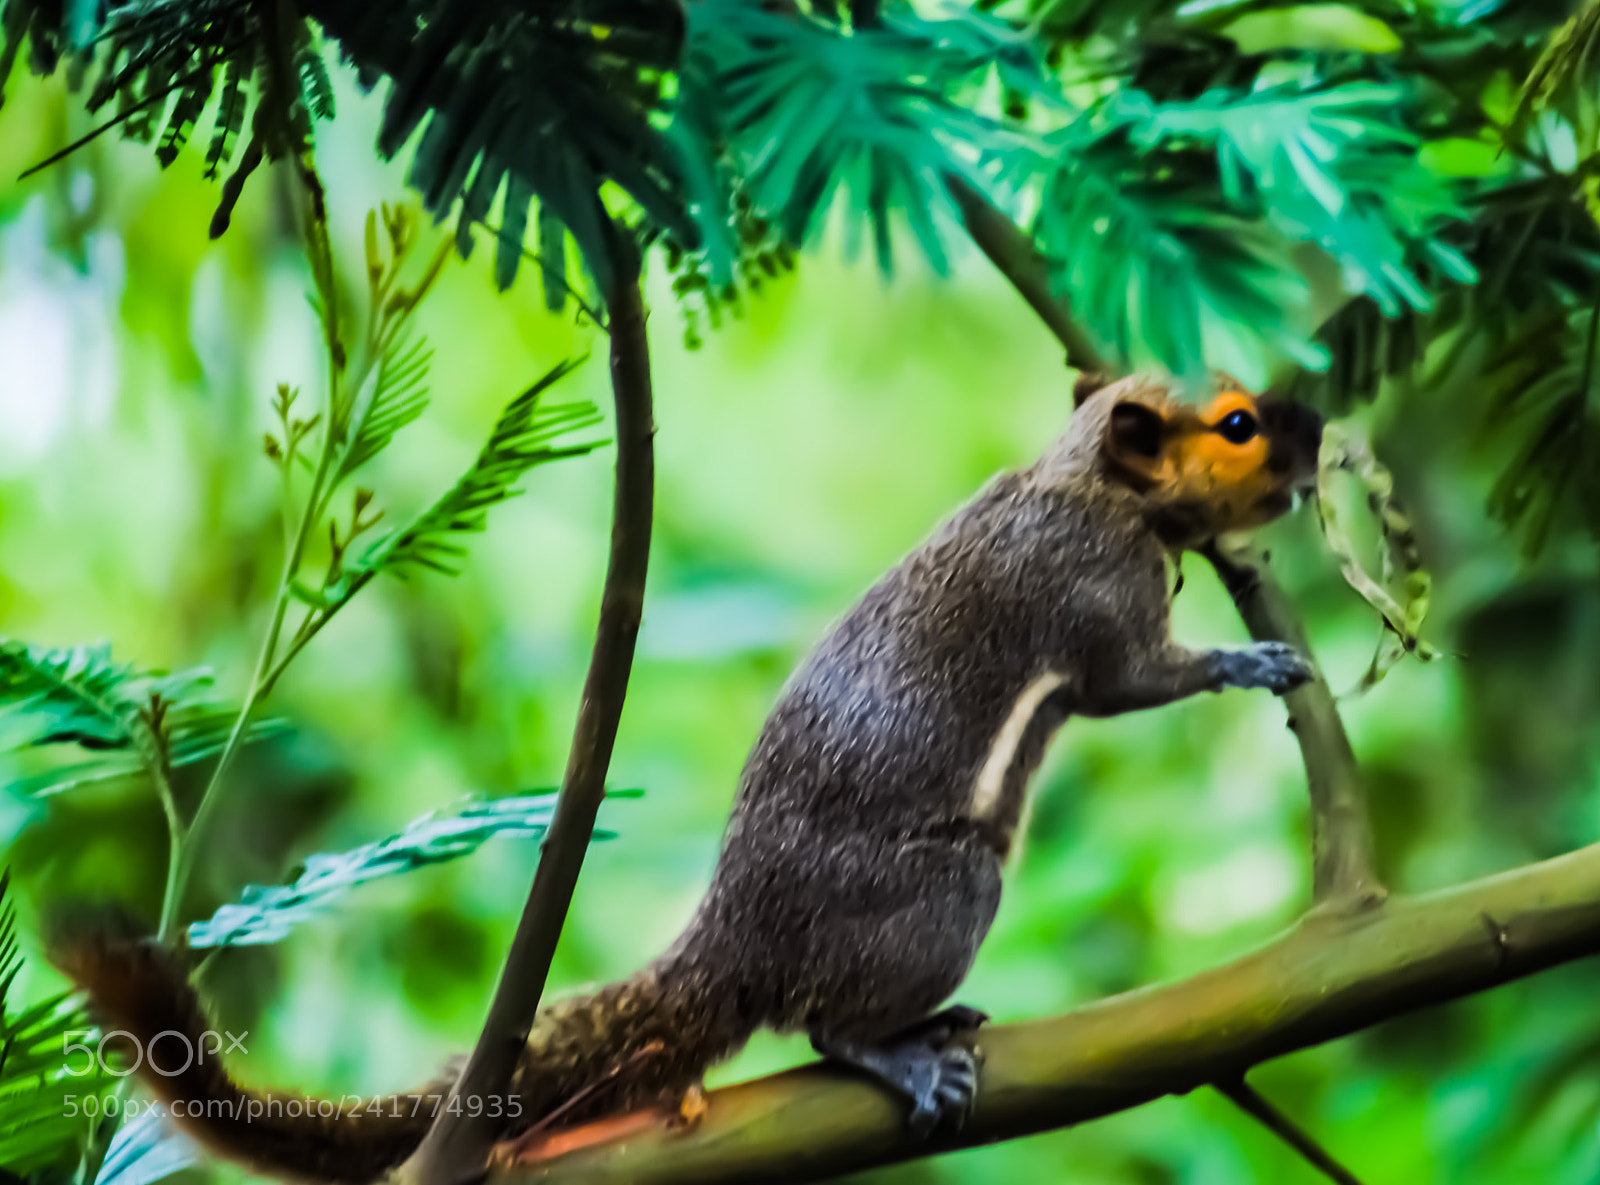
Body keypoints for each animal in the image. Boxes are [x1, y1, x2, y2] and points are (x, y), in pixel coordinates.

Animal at [47, 370, 1324, 1183]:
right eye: (1239, 423)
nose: (1318, 438)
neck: (1094, 490)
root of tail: (736, 944)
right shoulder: (1094, 599)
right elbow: (1128, 682)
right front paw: (1251, 659)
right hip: (943, 892)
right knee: (824, 1025)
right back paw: (898, 1046)